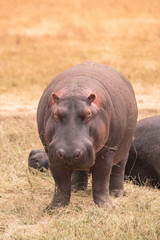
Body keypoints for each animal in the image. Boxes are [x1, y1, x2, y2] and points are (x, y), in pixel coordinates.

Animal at [28, 62, 138, 208]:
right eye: (56, 114)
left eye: (88, 114)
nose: (69, 153)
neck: (75, 91)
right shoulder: (52, 153)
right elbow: (60, 182)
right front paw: (55, 207)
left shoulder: (107, 151)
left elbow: (101, 179)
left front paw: (106, 206)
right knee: (79, 170)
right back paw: (76, 188)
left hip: (124, 147)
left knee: (119, 169)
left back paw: (117, 193)